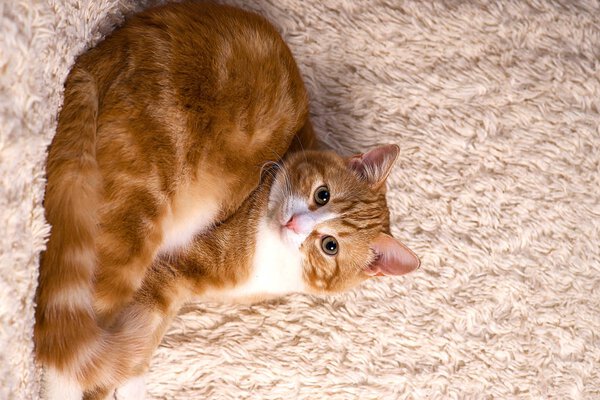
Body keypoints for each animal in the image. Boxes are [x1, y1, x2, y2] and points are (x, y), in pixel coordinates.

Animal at [35, 1, 420, 398]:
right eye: (321, 194)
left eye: (330, 246)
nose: (294, 223)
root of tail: (107, 48)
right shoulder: (172, 265)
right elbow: (115, 349)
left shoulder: (173, 283)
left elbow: (140, 336)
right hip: (134, 219)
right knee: (65, 337)